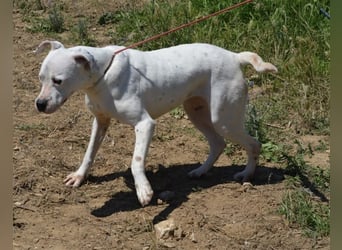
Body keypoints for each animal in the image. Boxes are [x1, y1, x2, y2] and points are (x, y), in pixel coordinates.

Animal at [34, 40, 278, 205]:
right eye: (40, 78)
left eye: (58, 81)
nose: (39, 104)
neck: (103, 74)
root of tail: (235, 56)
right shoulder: (100, 122)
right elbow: (89, 152)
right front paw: (79, 176)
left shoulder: (145, 124)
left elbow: (136, 161)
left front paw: (143, 190)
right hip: (197, 113)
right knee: (218, 143)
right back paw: (201, 171)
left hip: (224, 120)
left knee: (253, 144)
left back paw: (246, 174)